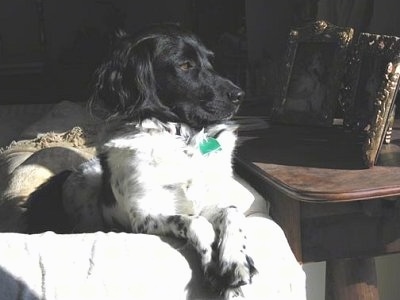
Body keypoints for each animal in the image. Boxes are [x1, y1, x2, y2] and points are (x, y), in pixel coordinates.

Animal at [25, 24, 258, 298]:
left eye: (210, 61)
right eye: (185, 65)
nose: (240, 95)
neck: (182, 139)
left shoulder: (209, 202)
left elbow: (232, 213)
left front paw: (235, 262)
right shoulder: (143, 217)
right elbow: (196, 223)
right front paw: (214, 267)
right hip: (83, 186)